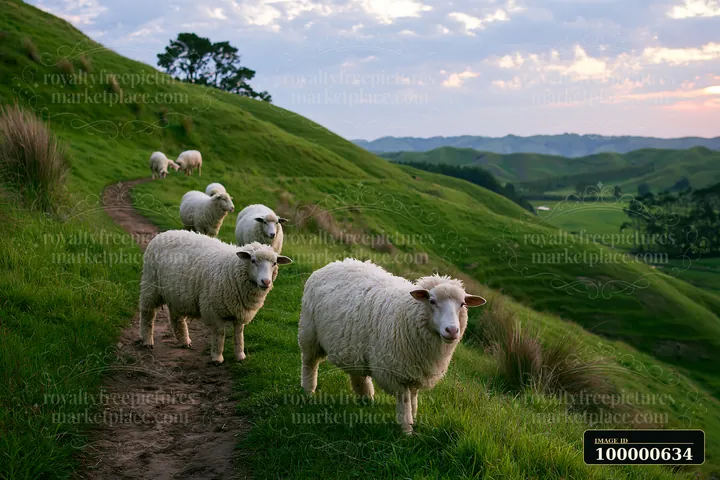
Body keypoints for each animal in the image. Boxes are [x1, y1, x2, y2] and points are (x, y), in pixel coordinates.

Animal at [139, 231, 293, 364]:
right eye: (253, 260)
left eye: (274, 263)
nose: (266, 282)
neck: (231, 269)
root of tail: (165, 233)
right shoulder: (214, 311)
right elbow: (219, 335)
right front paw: (217, 358)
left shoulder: (240, 312)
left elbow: (239, 335)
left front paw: (240, 356)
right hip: (151, 285)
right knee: (147, 313)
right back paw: (147, 341)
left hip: (178, 295)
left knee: (177, 318)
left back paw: (184, 341)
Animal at [298, 259, 486, 434]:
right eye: (432, 301)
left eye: (462, 304)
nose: (452, 330)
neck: (407, 314)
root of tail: (333, 263)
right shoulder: (396, 373)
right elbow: (405, 400)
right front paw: (407, 430)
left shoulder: (416, 371)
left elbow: (414, 398)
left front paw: (414, 418)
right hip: (309, 334)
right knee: (309, 363)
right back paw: (308, 390)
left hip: (353, 345)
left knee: (357, 373)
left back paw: (366, 398)